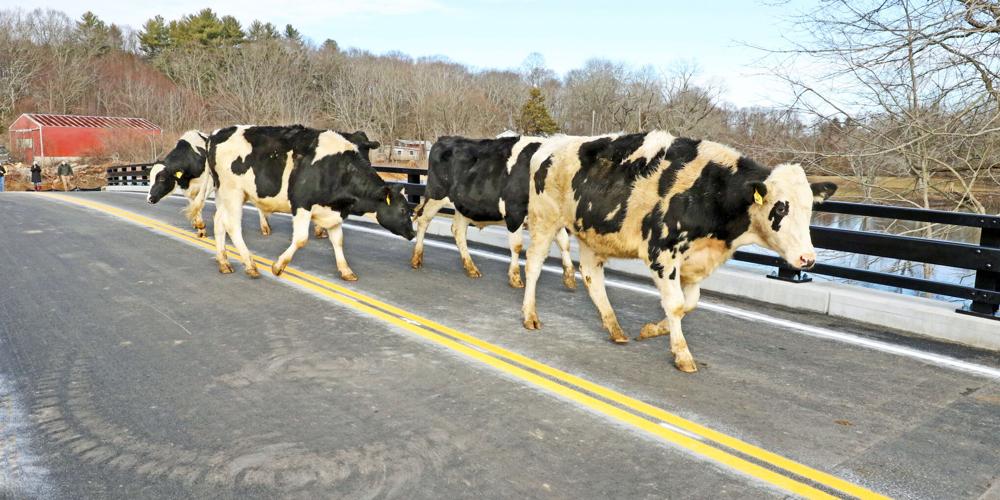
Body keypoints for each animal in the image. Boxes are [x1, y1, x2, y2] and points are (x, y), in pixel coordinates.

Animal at [206, 125, 414, 280]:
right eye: (403, 210)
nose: (412, 233)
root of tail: (216, 134)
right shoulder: (301, 203)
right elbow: (301, 239)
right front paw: (278, 266)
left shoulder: (334, 210)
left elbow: (338, 240)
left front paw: (346, 271)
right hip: (233, 192)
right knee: (232, 226)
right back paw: (250, 265)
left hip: (225, 194)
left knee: (219, 221)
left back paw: (224, 262)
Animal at [411, 135, 576, 290]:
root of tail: (445, 138)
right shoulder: (514, 211)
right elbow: (517, 245)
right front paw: (515, 277)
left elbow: (565, 243)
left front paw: (569, 277)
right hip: (436, 194)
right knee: (423, 220)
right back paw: (416, 259)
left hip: (464, 205)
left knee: (458, 231)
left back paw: (471, 268)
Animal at [520, 131, 837, 372]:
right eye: (781, 207)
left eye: (810, 207)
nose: (807, 258)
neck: (712, 193)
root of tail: (552, 142)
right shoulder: (662, 253)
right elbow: (675, 304)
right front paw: (682, 354)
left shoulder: (694, 262)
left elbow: (690, 303)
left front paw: (651, 330)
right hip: (545, 219)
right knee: (534, 264)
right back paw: (530, 316)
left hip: (591, 233)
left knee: (592, 278)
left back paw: (616, 329)